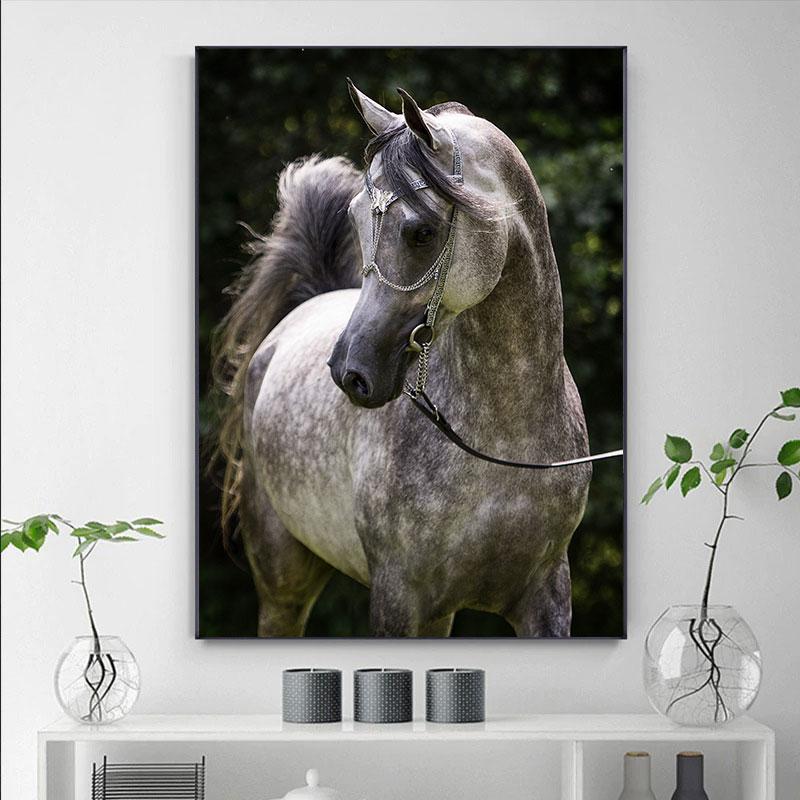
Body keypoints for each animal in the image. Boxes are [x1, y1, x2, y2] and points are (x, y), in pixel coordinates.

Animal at [212, 81, 592, 637]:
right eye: (355, 217)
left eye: (421, 232)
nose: (350, 373)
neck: (502, 440)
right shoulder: (399, 599)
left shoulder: (546, 598)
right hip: (284, 585)